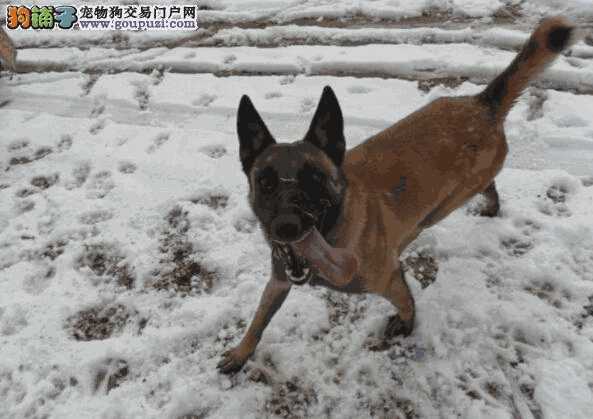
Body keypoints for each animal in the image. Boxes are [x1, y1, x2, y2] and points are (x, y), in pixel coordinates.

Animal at [217, 16, 572, 374]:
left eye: (315, 178)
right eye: (265, 182)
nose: (287, 226)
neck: (333, 234)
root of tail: (481, 102)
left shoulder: (389, 279)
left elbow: (407, 304)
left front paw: (407, 325)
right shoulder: (278, 282)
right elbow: (259, 320)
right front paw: (241, 352)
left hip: (447, 203)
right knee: (490, 186)